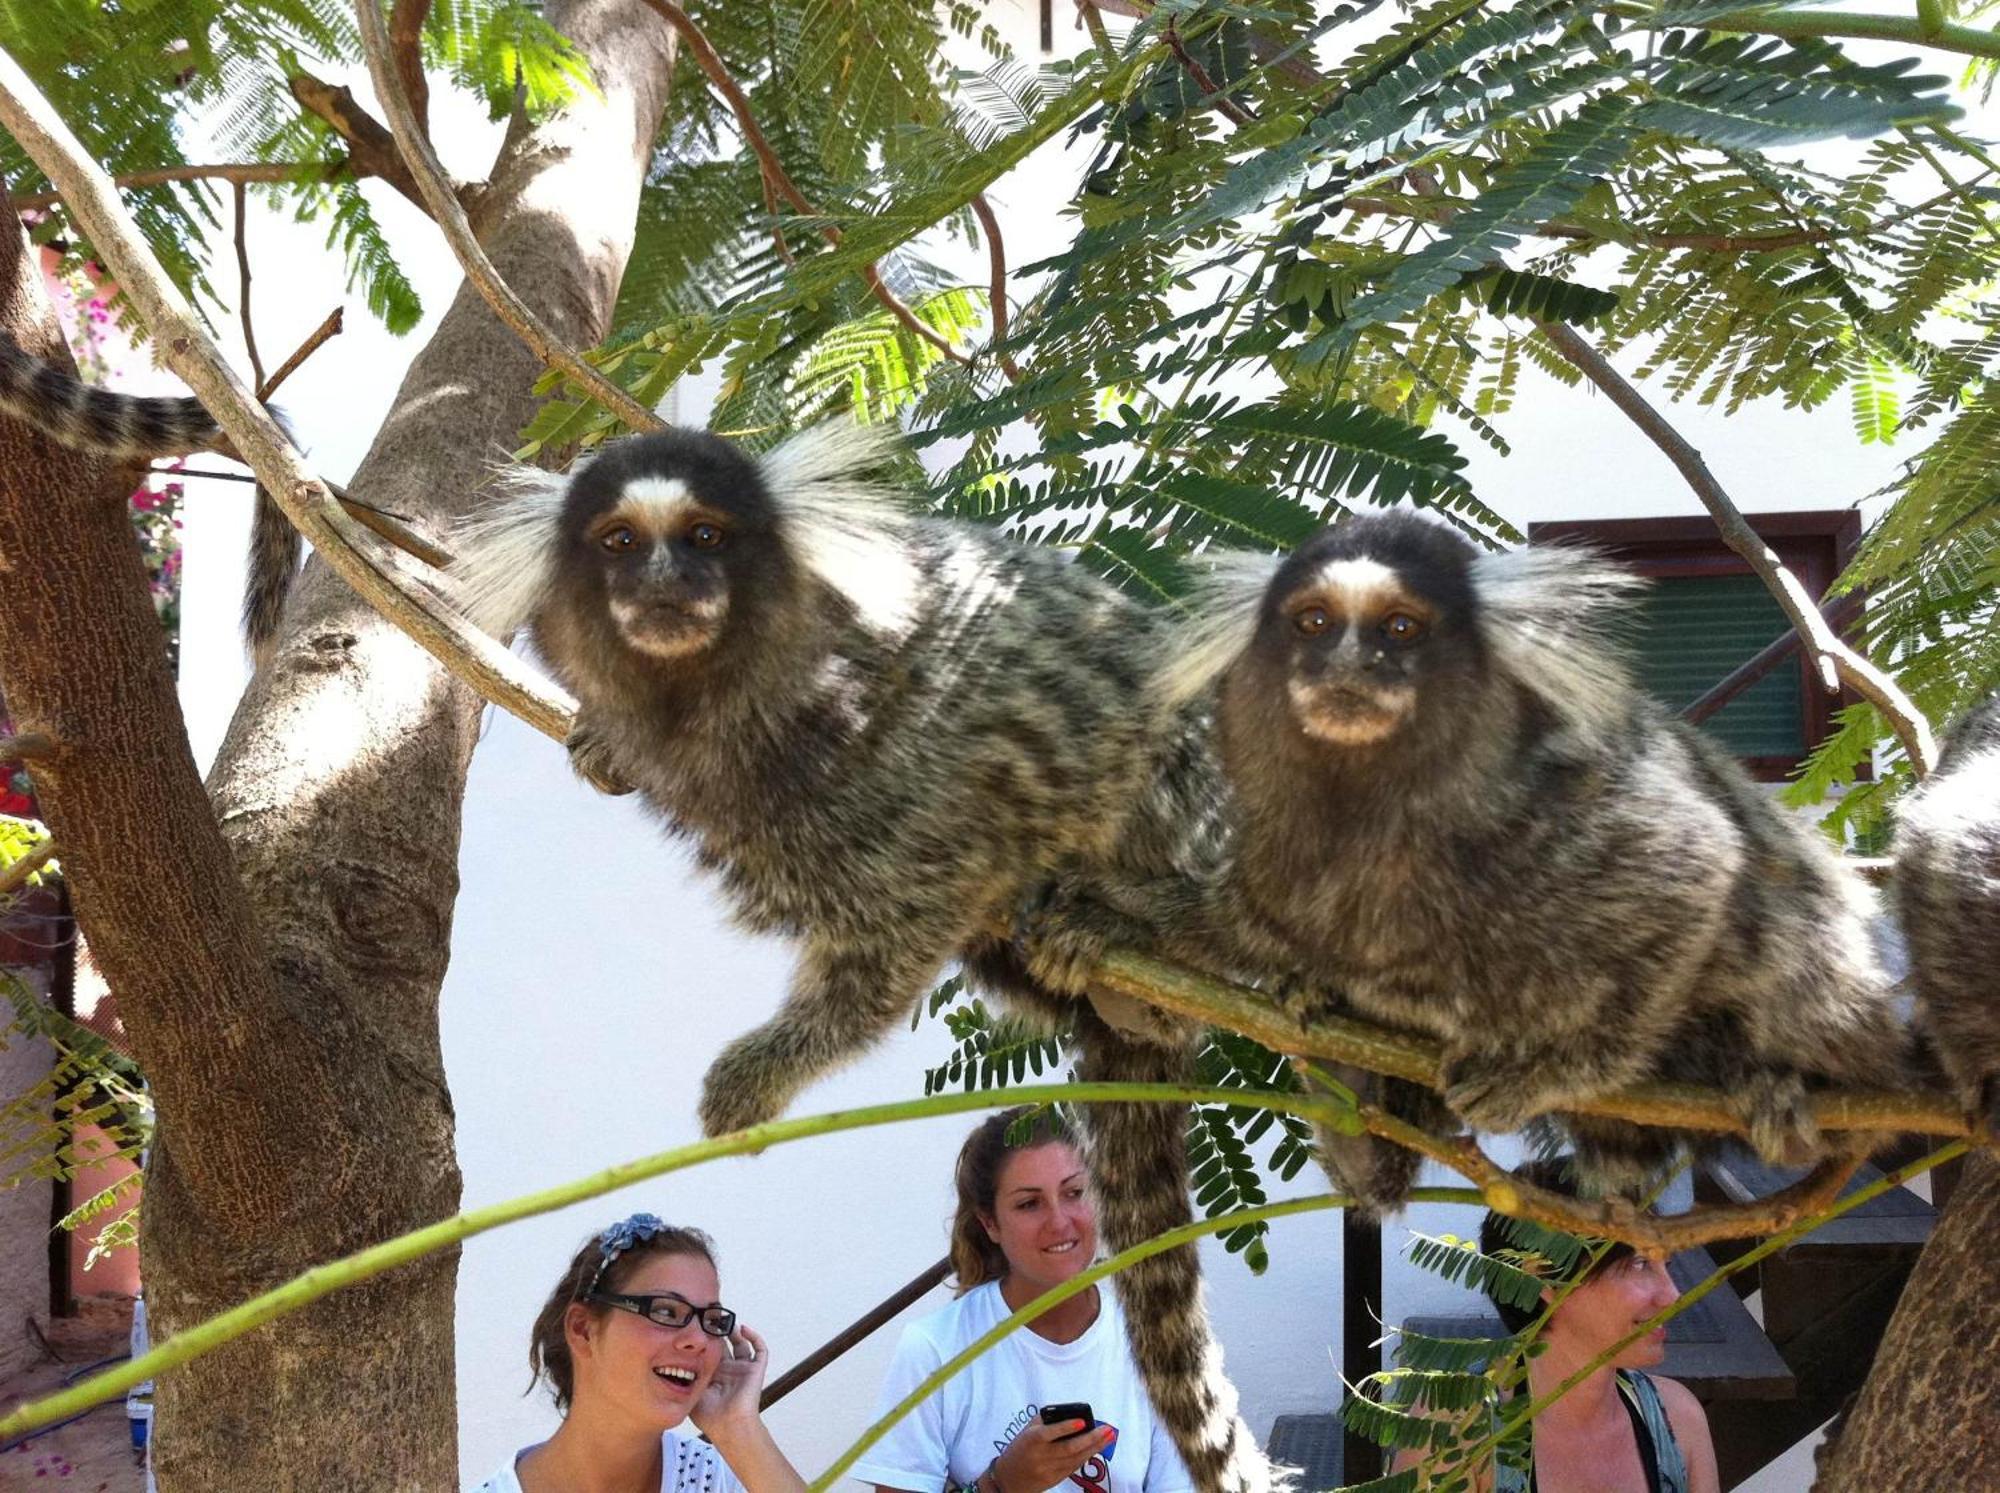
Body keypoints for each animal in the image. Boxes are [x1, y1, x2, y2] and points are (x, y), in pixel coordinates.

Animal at [448, 416, 1272, 1488]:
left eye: (706, 536)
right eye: (620, 542)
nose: (665, 581)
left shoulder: (908, 763)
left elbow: (911, 912)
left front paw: (761, 1071)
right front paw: (602, 742)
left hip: (1207, 831)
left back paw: (1143, 929)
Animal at [1168, 512, 1912, 1200]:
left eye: (1400, 628)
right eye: (1314, 622)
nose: (1348, 665)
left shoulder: (1572, 816)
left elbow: (1698, 867)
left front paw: (1555, 1072)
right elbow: (1383, 1163)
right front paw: (1331, 1054)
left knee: (1786, 935)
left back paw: (1784, 1090)